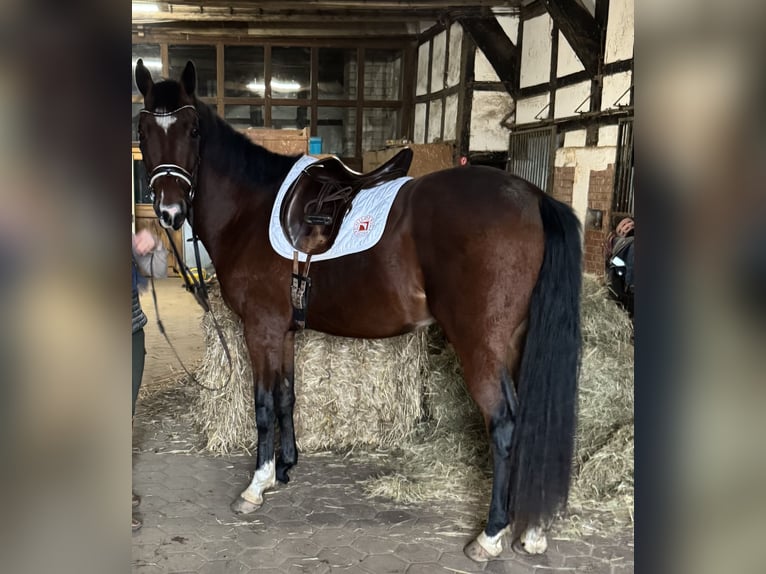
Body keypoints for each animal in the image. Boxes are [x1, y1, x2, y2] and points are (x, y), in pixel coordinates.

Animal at [136, 60, 584, 564]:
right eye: (143, 129)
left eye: (193, 130)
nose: (169, 211)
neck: (251, 209)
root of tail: (533, 197)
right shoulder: (284, 332)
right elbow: (288, 396)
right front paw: (285, 469)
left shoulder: (261, 330)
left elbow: (264, 404)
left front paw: (256, 483)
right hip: (518, 342)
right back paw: (532, 531)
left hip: (482, 346)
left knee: (505, 424)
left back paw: (491, 535)